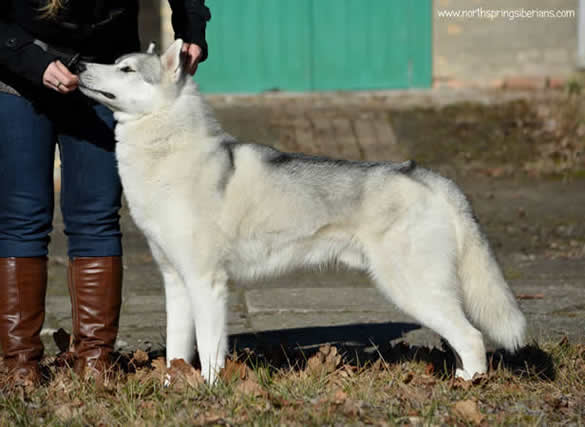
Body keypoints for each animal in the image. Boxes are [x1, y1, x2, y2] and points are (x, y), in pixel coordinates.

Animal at [78, 39, 524, 382]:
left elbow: (208, 351)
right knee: (462, 338)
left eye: (126, 69)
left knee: (472, 338)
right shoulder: (176, 282)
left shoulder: (207, 284)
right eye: (115, 62)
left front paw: (208, 390)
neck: (168, 153)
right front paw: (176, 389)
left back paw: (469, 384)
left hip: (413, 288)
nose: (79, 62)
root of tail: (426, 176)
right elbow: (177, 350)